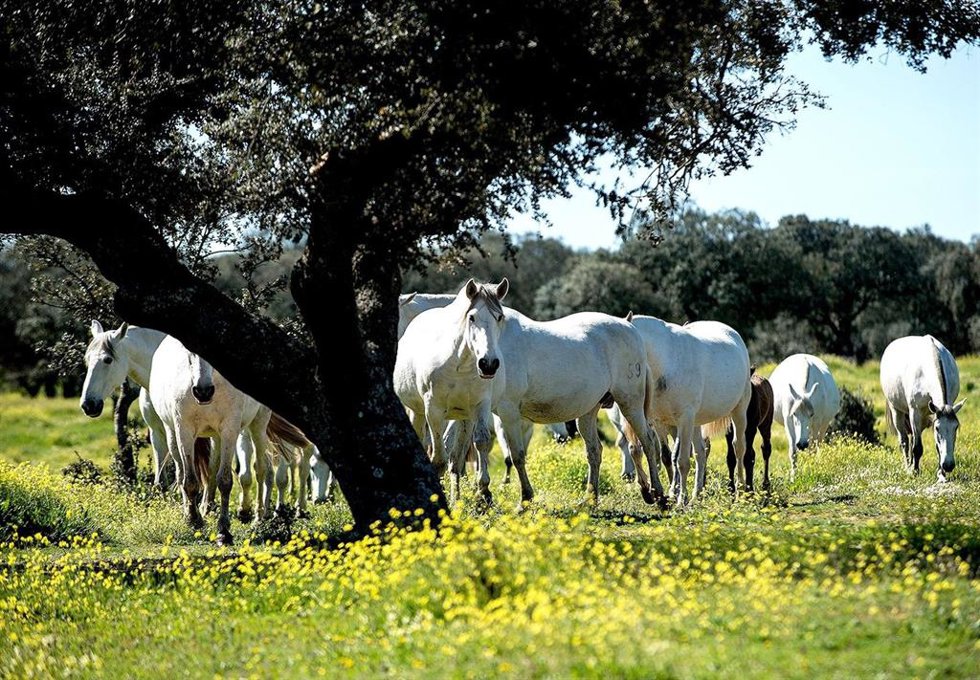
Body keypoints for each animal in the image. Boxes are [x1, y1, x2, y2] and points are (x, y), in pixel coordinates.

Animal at [394, 279, 508, 504]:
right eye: (472, 317)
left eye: (499, 317)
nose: (488, 364)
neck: (461, 364)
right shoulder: (434, 411)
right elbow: (438, 459)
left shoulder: (481, 405)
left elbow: (480, 443)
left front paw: (483, 492)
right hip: (417, 412)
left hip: (464, 418)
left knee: (456, 460)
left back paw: (458, 500)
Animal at [491, 309, 668, 509]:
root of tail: (629, 326)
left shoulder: (508, 413)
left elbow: (516, 456)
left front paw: (524, 501)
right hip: (589, 412)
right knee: (596, 450)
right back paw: (591, 498)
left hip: (630, 404)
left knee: (647, 441)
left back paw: (657, 493)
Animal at [616, 315, 752, 505]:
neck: (667, 362)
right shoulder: (657, 421)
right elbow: (662, 454)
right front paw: (670, 494)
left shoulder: (684, 419)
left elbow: (681, 461)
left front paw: (680, 500)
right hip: (696, 421)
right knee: (700, 452)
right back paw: (697, 494)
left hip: (739, 410)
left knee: (738, 447)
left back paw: (740, 491)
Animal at [880, 335, 963, 481]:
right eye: (937, 428)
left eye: (956, 427)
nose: (948, 465)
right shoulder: (915, 412)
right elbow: (917, 447)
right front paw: (915, 472)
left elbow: (937, 445)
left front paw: (941, 474)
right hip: (897, 411)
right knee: (904, 441)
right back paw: (908, 467)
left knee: (912, 437)